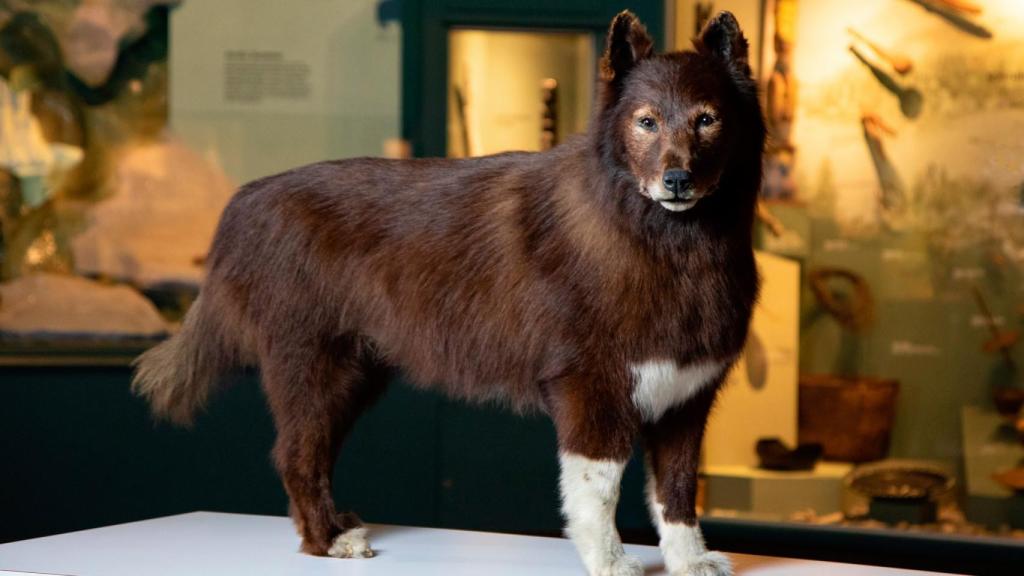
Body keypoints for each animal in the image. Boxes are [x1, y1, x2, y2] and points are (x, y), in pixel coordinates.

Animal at [132, 10, 765, 573]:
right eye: (646, 121)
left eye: (707, 119)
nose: (677, 180)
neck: (667, 246)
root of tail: (244, 201)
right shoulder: (591, 390)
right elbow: (597, 490)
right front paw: (609, 564)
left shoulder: (685, 399)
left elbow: (677, 493)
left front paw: (689, 562)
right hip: (311, 369)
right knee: (295, 455)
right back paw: (328, 542)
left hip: (354, 377)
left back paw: (337, 527)